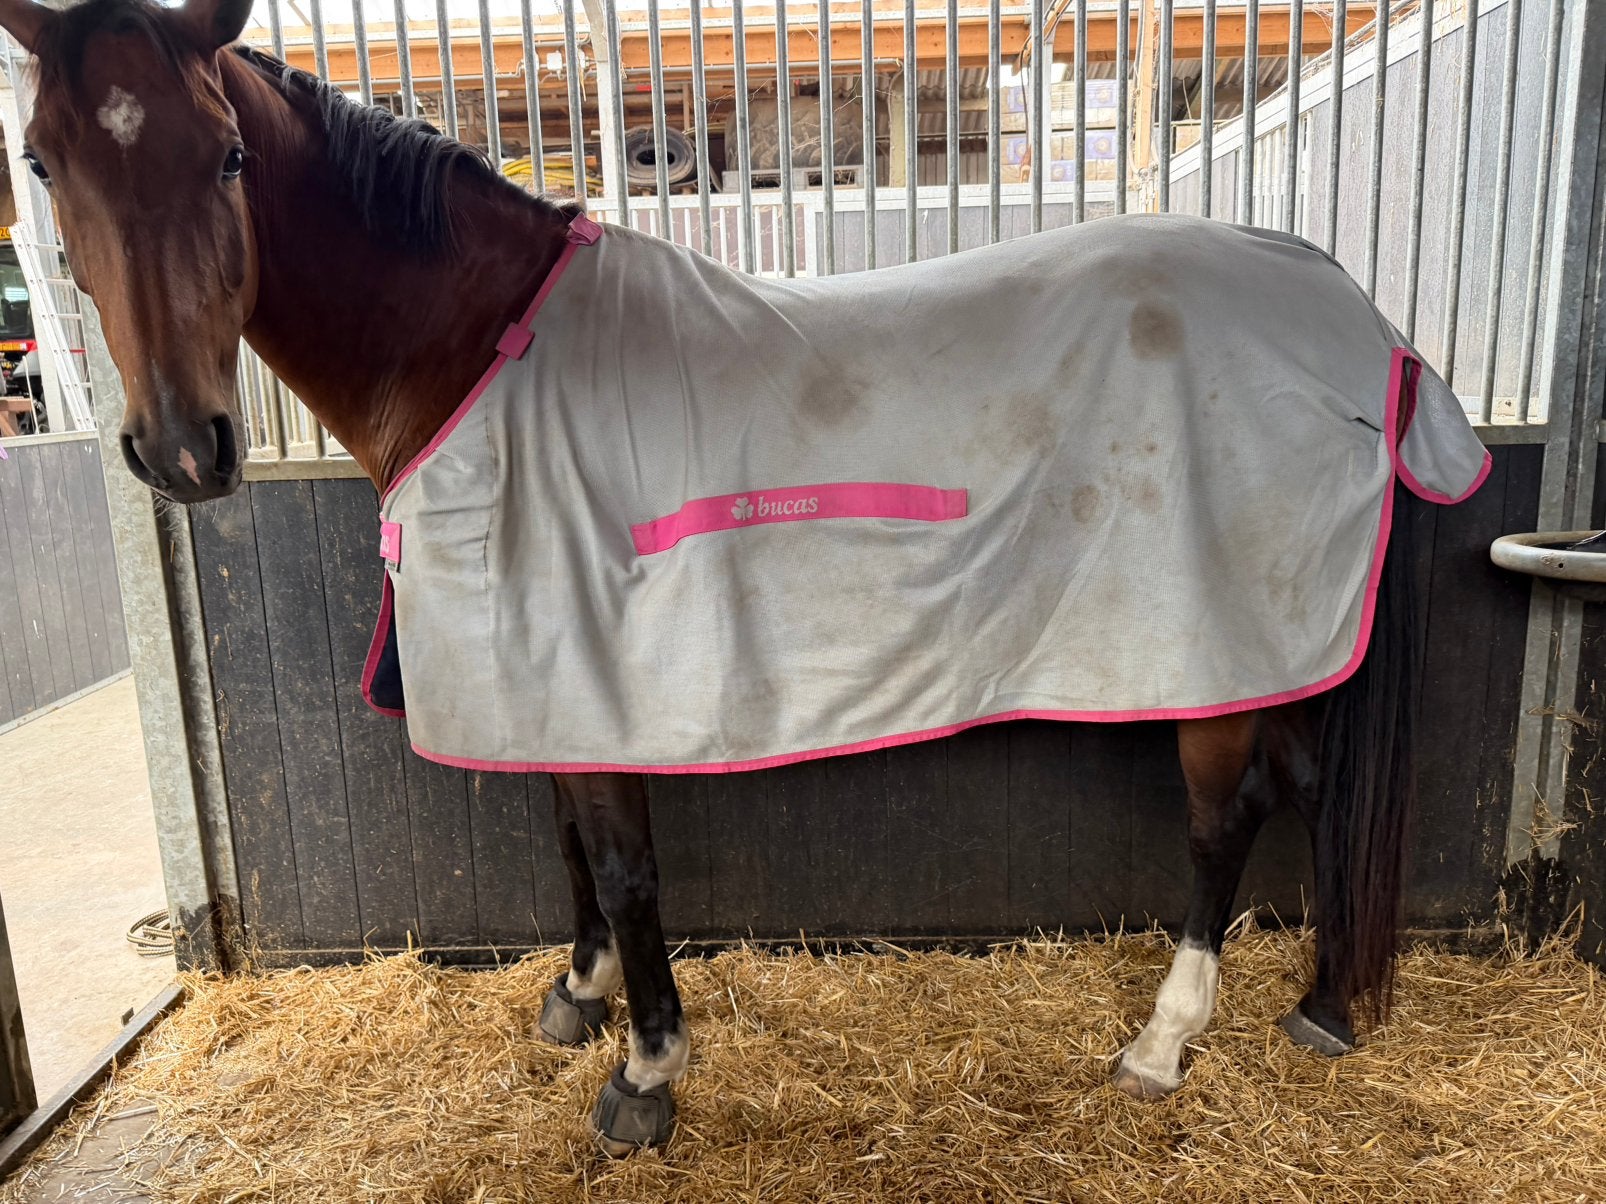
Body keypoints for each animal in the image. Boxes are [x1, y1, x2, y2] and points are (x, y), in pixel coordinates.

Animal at [1, 0, 1491, 1156]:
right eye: (42, 161)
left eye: (229, 155)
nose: (182, 450)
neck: (479, 347)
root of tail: (1358, 321)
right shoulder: (540, 671)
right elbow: (568, 844)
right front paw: (576, 997)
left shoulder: (590, 667)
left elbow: (619, 860)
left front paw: (644, 1072)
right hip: (1263, 641)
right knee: (1311, 785)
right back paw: (1323, 1004)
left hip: (1206, 650)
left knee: (1223, 818)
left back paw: (1163, 1044)